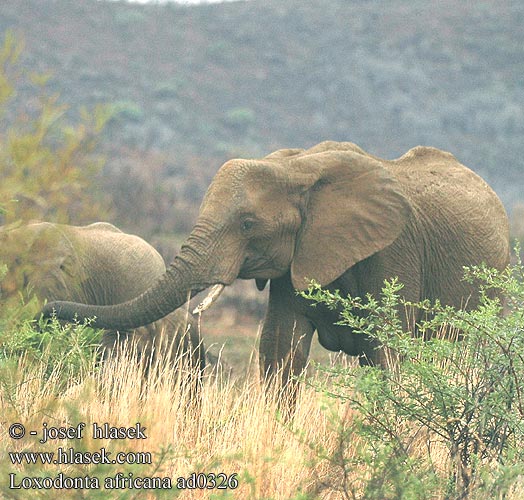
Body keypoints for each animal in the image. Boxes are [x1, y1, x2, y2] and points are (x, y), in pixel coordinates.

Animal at [43, 141, 510, 390]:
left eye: (247, 224)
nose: (46, 310)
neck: (297, 167)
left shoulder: (394, 250)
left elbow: (389, 347)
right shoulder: (296, 257)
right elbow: (281, 347)